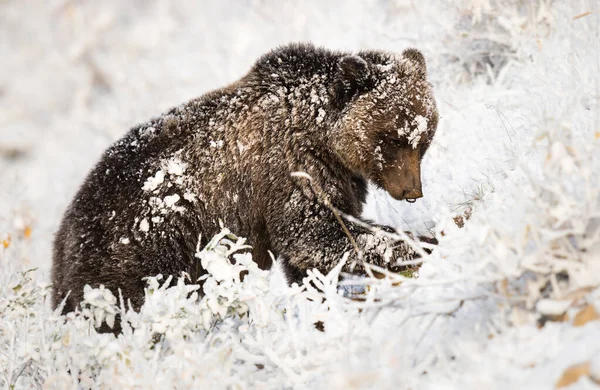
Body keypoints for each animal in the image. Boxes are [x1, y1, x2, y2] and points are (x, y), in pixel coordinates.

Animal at [51, 42, 438, 316]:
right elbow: (317, 233)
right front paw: (422, 242)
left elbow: (313, 257)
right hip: (142, 252)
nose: (412, 190)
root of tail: (64, 235)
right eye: (391, 138)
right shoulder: (293, 172)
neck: (324, 138)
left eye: (423, 137)